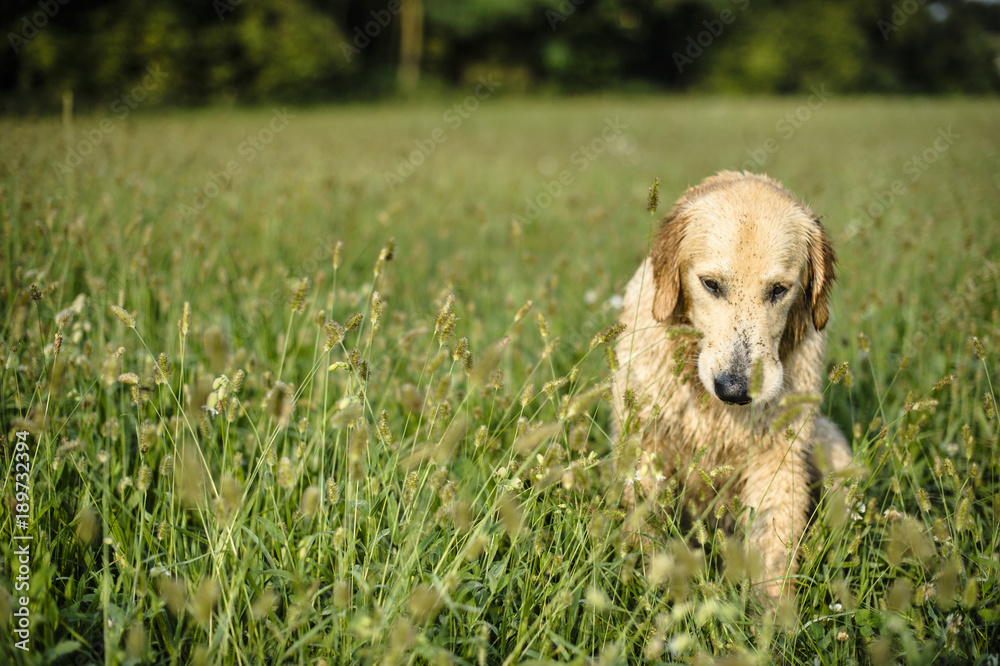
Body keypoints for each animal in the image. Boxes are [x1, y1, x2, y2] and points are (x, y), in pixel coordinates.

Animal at [612, 169, 856, 600]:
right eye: (711, 284)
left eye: (778, 289)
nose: (735, 390)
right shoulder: (645, 444)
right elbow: (646, 531)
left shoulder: (778, 456)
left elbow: (773, 545)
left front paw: (774, 614)